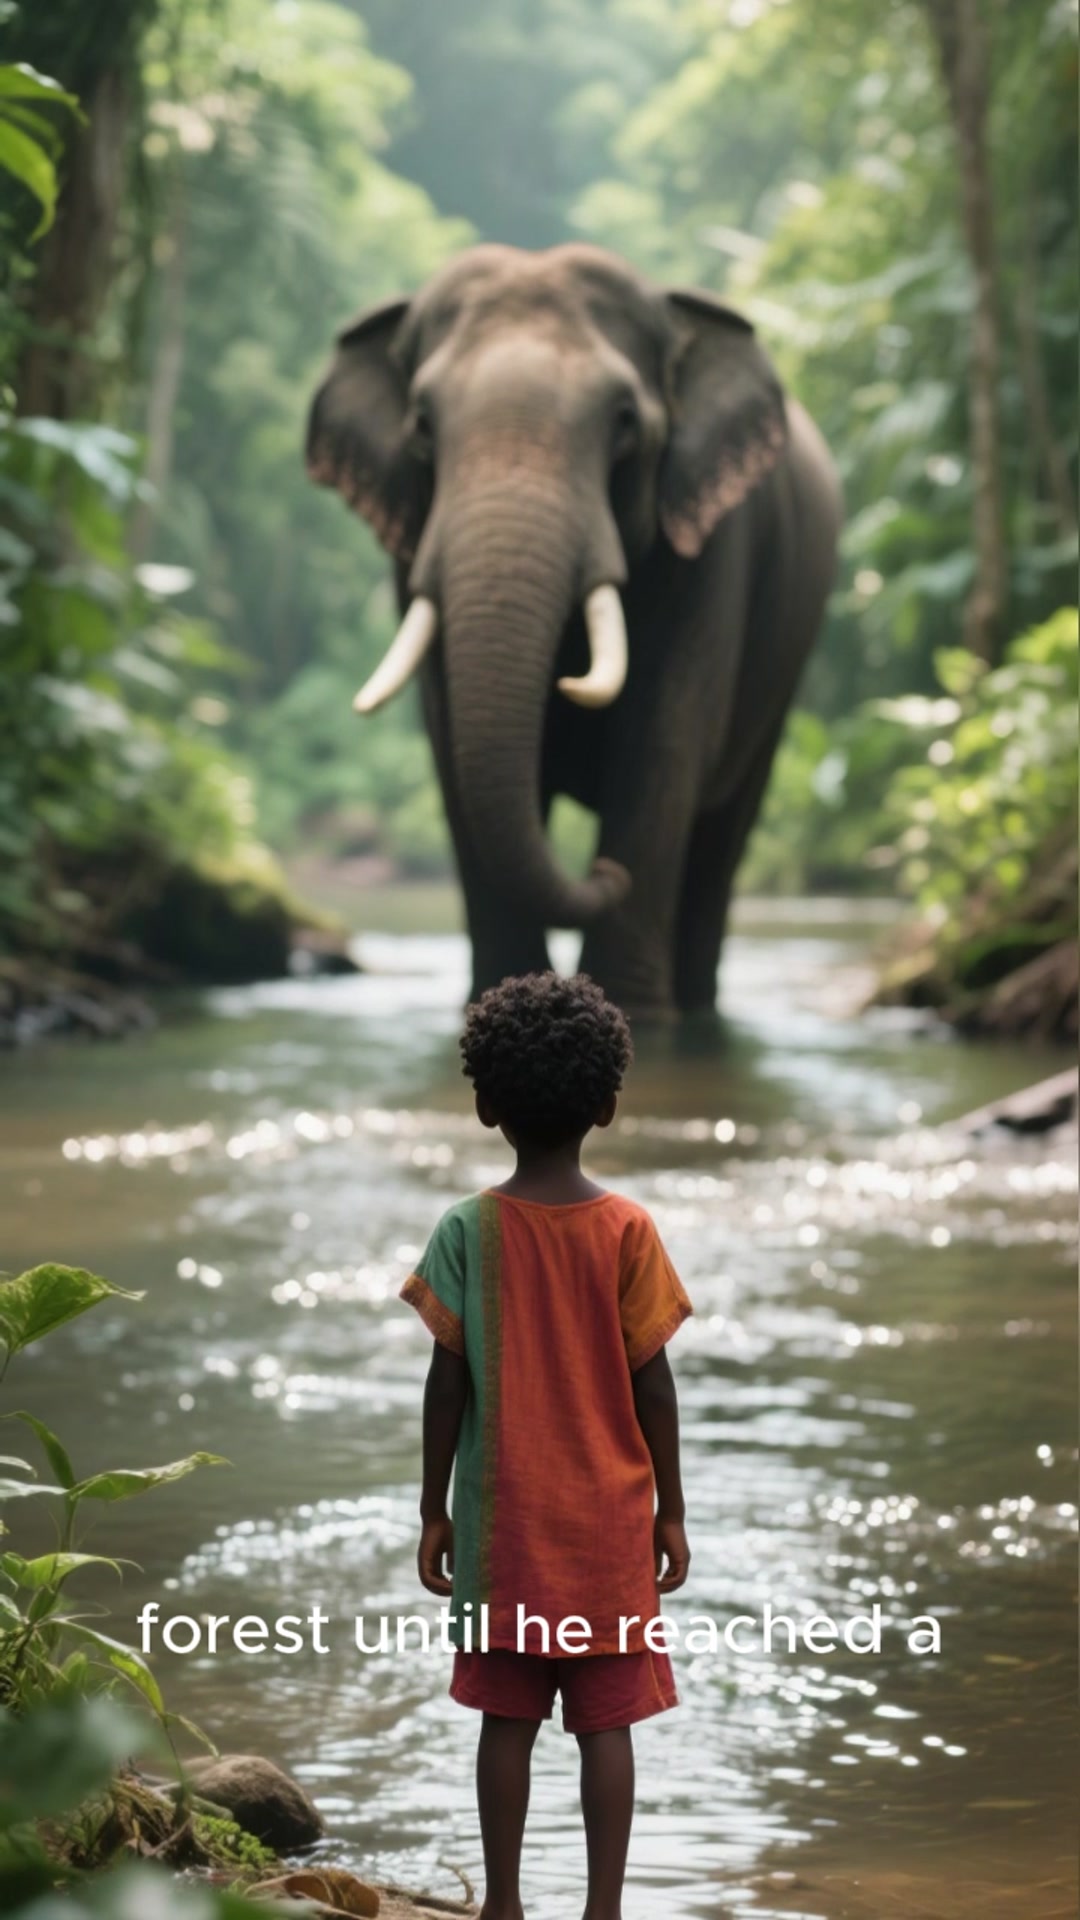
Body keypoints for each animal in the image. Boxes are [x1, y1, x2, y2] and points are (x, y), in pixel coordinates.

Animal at [306, 244, 842, 1018]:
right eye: (422, 426)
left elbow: (662, 745)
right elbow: (453, 751)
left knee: (722, 834)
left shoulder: (713, 551)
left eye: (624, 421)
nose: (606, 871)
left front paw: (634, 1012)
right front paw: (497, 1000)